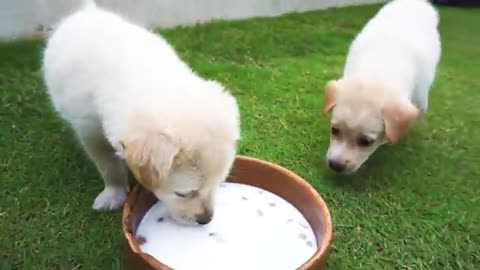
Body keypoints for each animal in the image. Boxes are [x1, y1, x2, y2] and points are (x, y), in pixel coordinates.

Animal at [42, 2, 240, 226]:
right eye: (183, 194)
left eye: (219, 183)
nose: (206, 220)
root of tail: (88, 11)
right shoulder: (88, 128)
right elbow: (107, 165)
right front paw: (113, 193)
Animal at [324, 0, 440, 173]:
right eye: (334, 130)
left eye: (366, 141)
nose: (335, 166)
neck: (377, 71)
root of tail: (416, 3)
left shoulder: (419, 94)